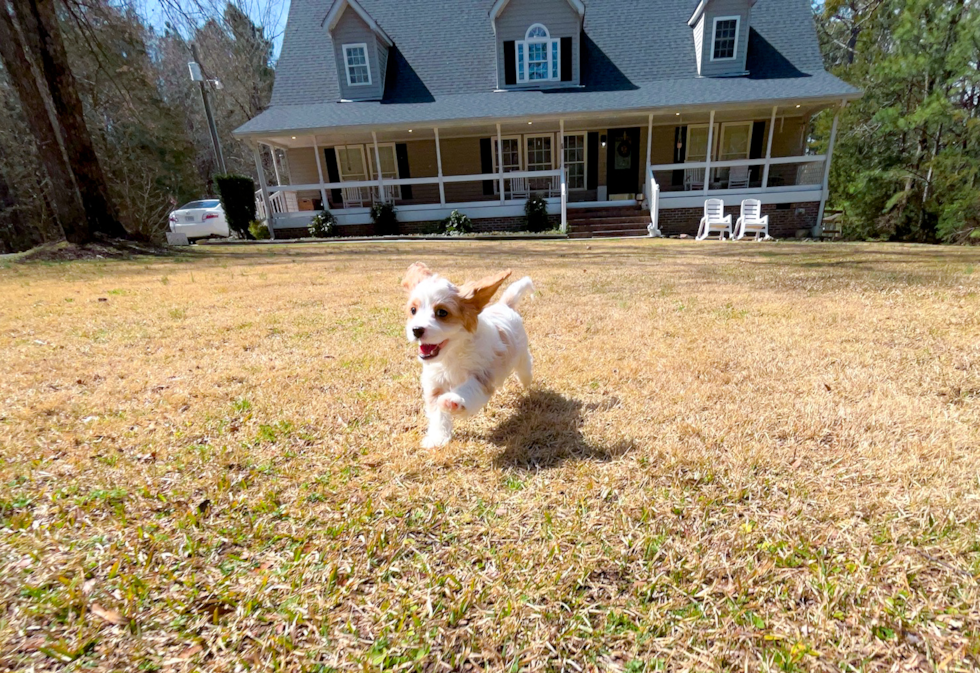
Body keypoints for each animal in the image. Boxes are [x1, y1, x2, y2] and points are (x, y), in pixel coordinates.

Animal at [400, 262, 532, 446]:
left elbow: (467, 388)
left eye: (442, 312)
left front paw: (452, 401)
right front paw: (437, 438)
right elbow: (437, 414)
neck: (451, 354)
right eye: (413, 310)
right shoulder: (434, 383)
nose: (416, 330)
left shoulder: (481, 376)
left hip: (521, 355)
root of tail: (505, 305)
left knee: (525, 368)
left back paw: (526, 383)